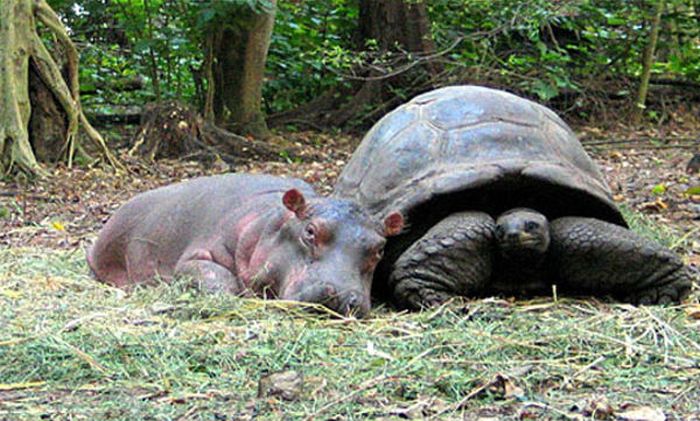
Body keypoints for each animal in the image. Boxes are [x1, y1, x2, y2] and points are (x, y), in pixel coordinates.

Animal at [87, 172, 404, 316]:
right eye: (310, 231)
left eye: (379, 249)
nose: (342, 296)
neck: (271, 222)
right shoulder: (201, 249)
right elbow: (211, 273)